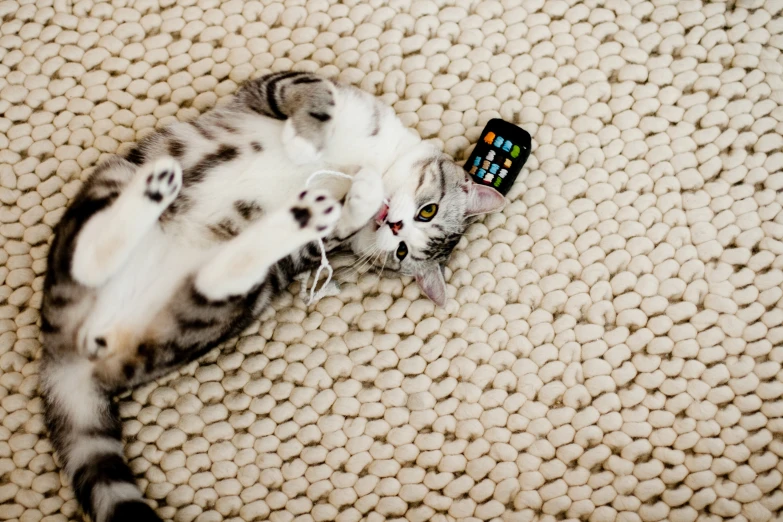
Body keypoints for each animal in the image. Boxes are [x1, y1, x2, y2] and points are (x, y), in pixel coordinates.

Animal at [41, 72, 508, 520]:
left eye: (403, 252)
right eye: (426, 213)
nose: (394, 226)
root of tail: (68, 356)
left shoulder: (320, 246)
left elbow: (342, 217)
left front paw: (357, 191)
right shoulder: (284, 85)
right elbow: (314, 94)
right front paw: (308, 143)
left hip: (240, 299)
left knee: (201, 282)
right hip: (114, 177)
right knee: (88, 257)